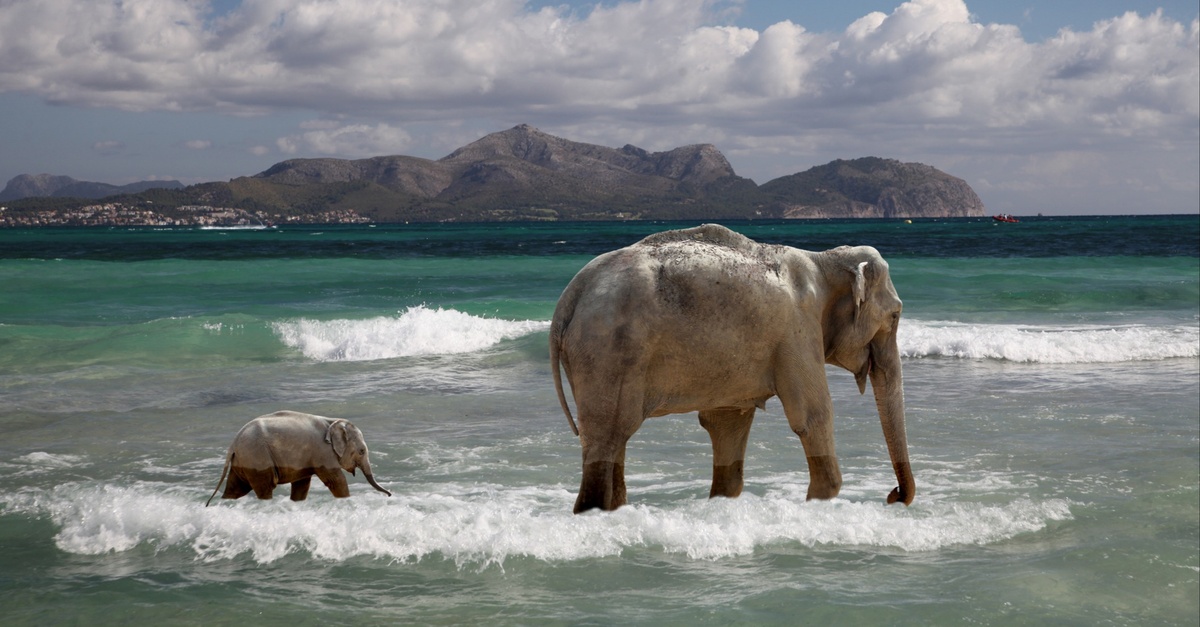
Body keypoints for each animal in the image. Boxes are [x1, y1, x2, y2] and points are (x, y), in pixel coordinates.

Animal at [205, 410, 392, 505]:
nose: (389, 495)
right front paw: (346, 501)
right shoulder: (323, 453)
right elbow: (335, 480)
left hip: (243, 461)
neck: (331, 421)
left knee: (235, 488)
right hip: (257, 458)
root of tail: (233, 444)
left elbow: (302, 484)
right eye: (361, 451)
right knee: (265, 487)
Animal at [549, 224, 915, 513]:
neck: (823, 259)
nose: (893, 496)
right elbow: (813, 416)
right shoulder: (797, 330)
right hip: (608, 354)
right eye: (896, 315)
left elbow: (726, 424)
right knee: (608, 439)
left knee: (615, 442)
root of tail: (569, 296)